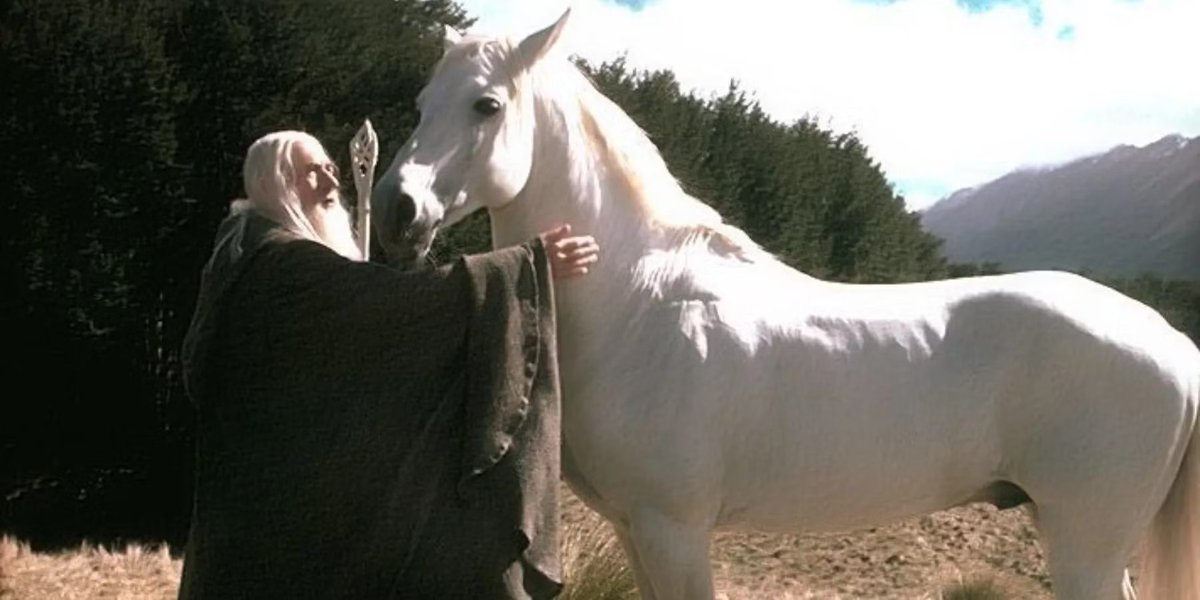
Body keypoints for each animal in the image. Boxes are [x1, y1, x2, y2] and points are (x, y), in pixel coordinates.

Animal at [371, 10, 1200, 599]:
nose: (395, 210)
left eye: (486, 104)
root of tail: (1172, 341)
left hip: (1085, 545)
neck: (636, 304)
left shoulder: (675, 530)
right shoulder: (636, 529)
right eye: (421, 102)